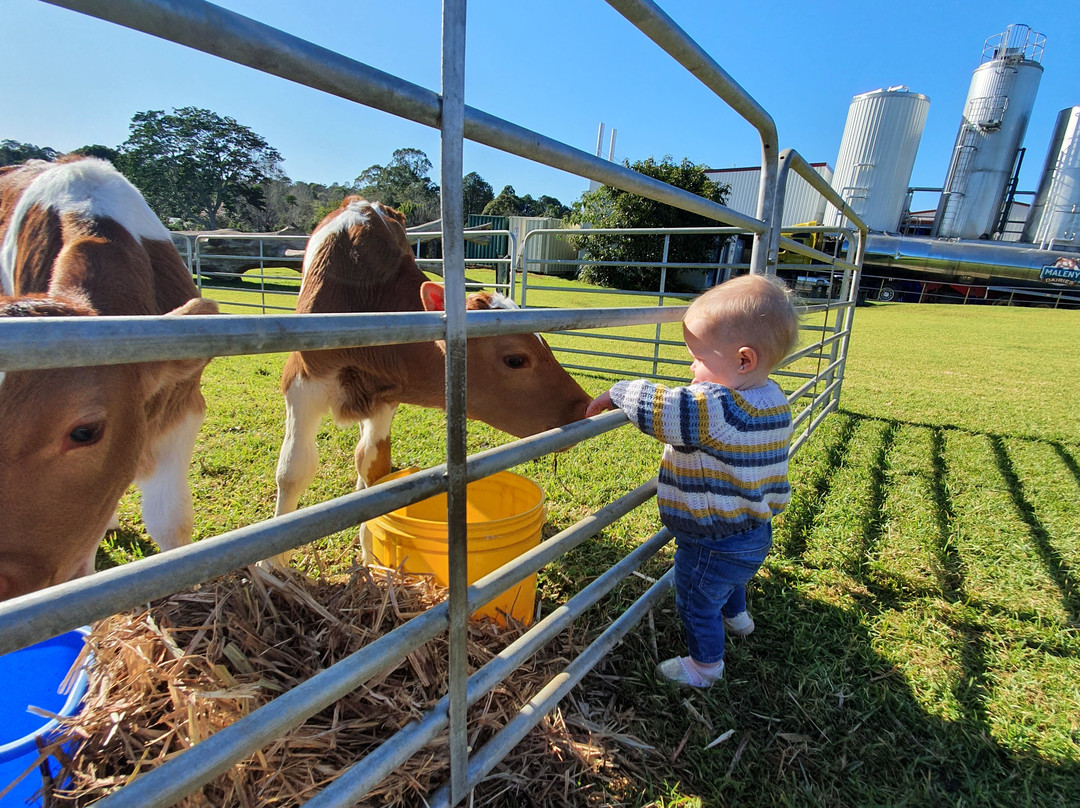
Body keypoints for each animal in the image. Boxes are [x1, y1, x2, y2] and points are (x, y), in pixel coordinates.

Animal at [270, 197, 591, 561]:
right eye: (516, 359)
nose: (584, 406)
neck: (366, 301)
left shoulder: (386, 397)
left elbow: (372, 468)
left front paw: (370, 553)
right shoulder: (300, 383)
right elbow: (293, 470)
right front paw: (272, 568)